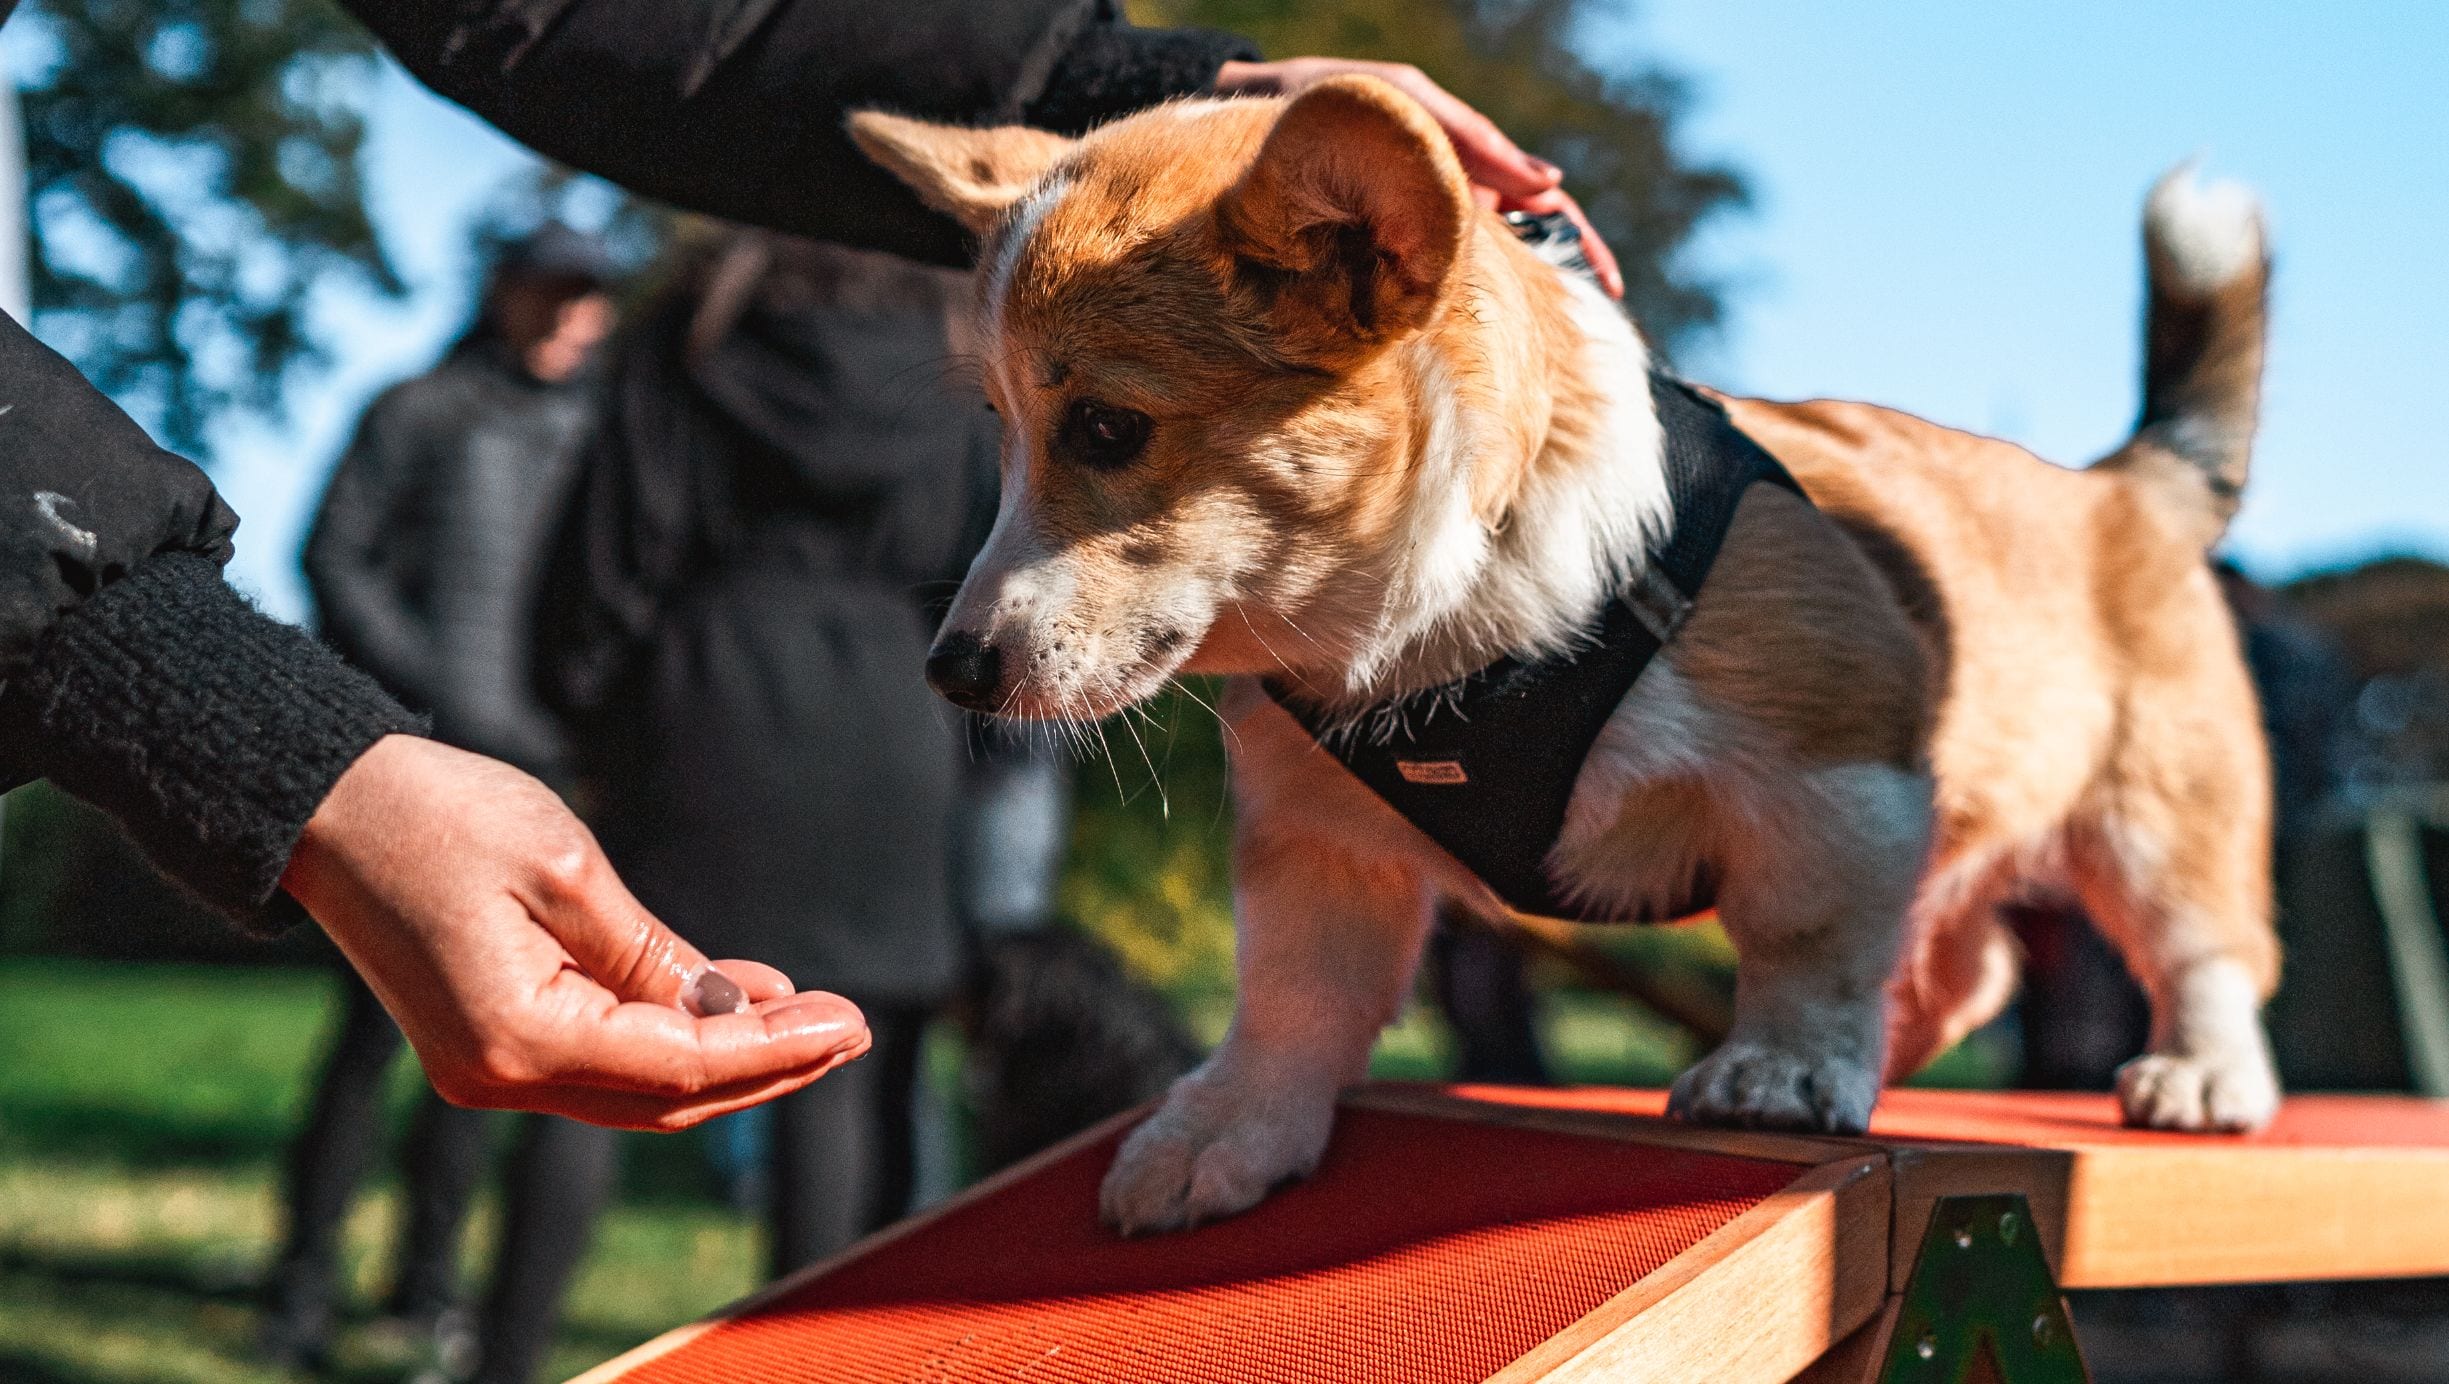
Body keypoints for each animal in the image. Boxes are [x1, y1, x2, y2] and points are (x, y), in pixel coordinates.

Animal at [852, 75, 2282, 1229]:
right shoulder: (1312, 838)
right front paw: (1224, 1132)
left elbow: (1806, 937)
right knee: (1973, 959)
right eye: (1000, 430)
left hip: (2161, 809)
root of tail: (2122, 484)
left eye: (1105, 427)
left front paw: (1781, 1068)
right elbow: (1292, 996)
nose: (950, 672)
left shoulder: (1835, 766)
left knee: (2200, 943)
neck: (1428, 622)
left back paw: (2200, 1071)